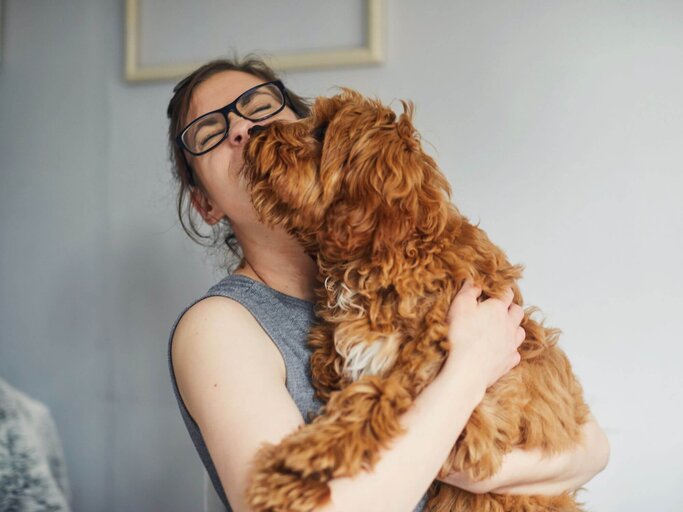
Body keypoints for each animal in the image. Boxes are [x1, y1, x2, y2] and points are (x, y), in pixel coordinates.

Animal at [239, 89, 588, 512]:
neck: (389, 256)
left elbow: (371, 398)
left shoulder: (465, 416)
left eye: (321, 131)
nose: (253, 130)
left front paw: (294, 468)